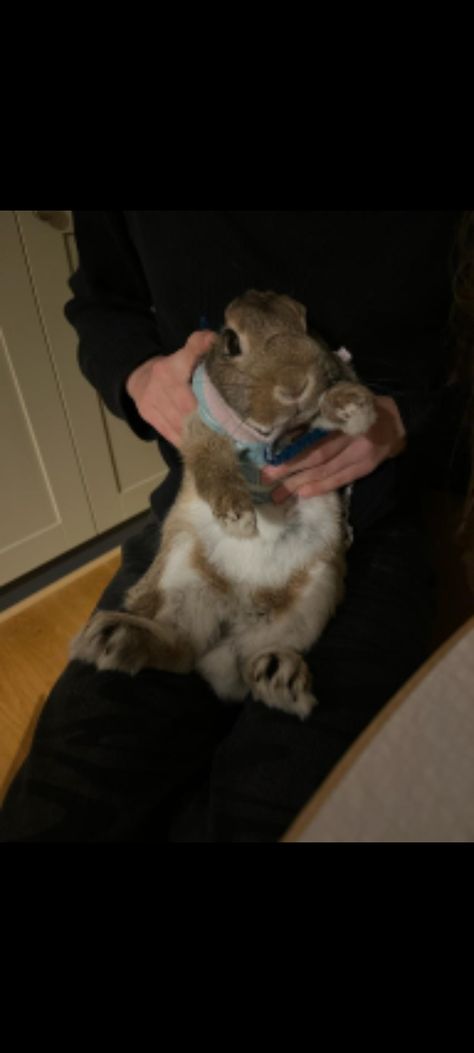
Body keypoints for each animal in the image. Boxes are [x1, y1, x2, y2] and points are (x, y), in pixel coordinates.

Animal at [70, 292, 374, 720]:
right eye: (231, 342)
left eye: (305, 322)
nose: (296, 386)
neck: (272, 436)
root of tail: (235, 621)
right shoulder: (202, 431)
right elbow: (212, 465)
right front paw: (238, 517)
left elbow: (329, 415)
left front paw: (353, 406)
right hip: (180, 570)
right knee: (182, 650)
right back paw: (113, 637)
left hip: (317, 591)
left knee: (244, 663)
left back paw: (279, 678)